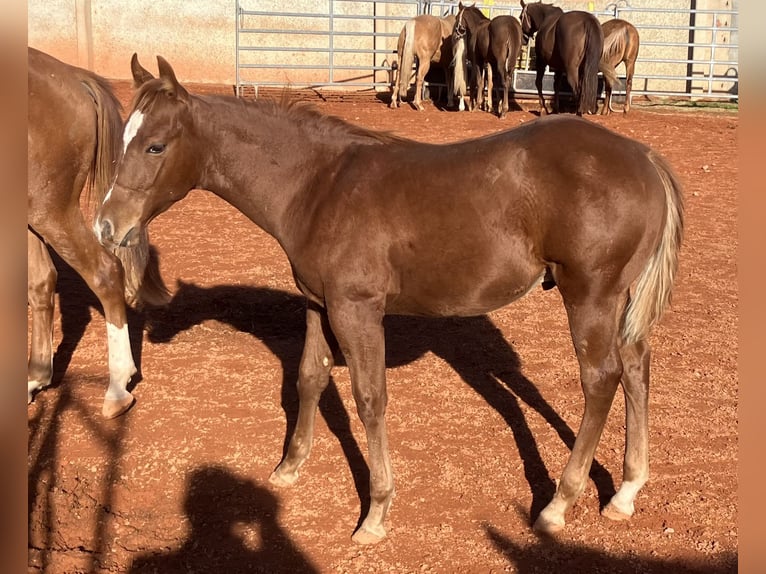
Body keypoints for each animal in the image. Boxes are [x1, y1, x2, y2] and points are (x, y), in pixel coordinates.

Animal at [27, 47, 169, 418]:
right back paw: (34, 377)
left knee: (104, 271)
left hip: (49, 209)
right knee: (42, 281)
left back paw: (118, 386)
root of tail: (75, 78)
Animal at [96, 55, 683, 543]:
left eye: (155, 145)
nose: (106, 226)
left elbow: (369, 399)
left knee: (601, 380)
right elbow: (309, 378)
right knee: (636, 367)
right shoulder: (319, 304)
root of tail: (644, 156)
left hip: (590, 294)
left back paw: (558, 505)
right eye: (123, 140)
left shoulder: (357, 310)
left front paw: (375, 513)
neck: (318, 185)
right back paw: (626, 492)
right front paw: (289, 468)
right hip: (619, 299)